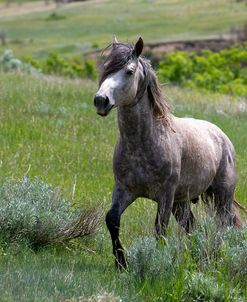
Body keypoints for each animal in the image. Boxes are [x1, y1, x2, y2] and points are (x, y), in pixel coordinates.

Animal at [93, 36, 241, 268]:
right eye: (106, 68)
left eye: (129, 71)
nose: (101, 100)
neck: (143, 143)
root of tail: (222, 136)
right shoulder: (124, 189)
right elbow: (112, 219)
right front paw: (121, 262)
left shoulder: (165, 194)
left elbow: (160, 228)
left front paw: (157, 261)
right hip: (182, 201)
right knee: (191, 225)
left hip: (221, 196)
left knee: (222, 225)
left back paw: (214, 258)